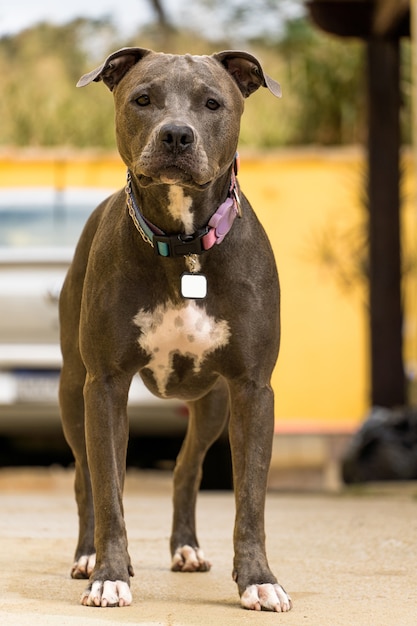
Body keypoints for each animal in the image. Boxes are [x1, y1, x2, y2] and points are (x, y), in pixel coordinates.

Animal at [59, 47, 292, 608]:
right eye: (143, 99)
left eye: (212, 103)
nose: (177, 136)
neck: (184, 247)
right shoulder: (105, 385)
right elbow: (109, 489)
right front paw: (110, 575)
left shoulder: (252, 388)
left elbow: (251, 498)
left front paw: (258, 579)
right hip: (72, 390)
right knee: (86, 477)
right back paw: (87, 556)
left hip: (212, 404)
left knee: (186, 468)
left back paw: (186, 549)